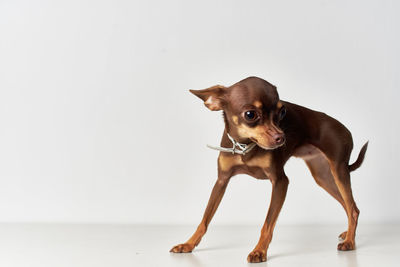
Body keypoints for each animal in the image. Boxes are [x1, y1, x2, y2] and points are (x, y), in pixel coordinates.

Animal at [170, 76, 368, 262]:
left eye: (283, 111)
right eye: (250, 114)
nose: (281, 138)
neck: (245, 146)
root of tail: (346, 130)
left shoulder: (280, 181)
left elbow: (267, 224)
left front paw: (259, 251)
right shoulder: (221, 181)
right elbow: (204, 219)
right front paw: (188, 244)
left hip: (338, 171)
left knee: (352, 208)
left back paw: (350, 241)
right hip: (323, 176)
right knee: (350, 206)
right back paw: (348, 233)